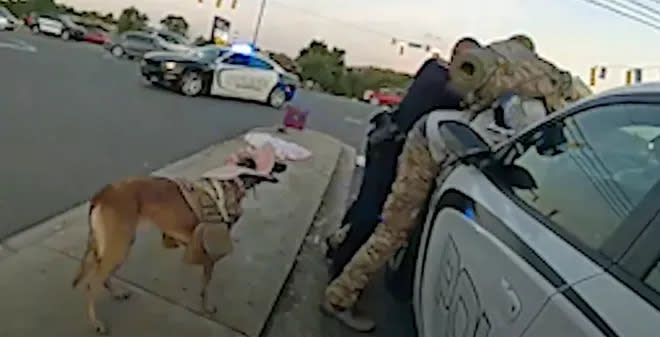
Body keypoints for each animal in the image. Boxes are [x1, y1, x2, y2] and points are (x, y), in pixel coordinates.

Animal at [71, 144, 286, 334]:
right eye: (273, 159)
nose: (284, 165)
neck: (230, 183)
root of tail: (102, 194)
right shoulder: (210, 254)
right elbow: (205, 287)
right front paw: (206, 308)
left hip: (116, 245)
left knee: (103, 276)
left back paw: (116, 293)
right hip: (119, 246)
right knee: (92, 284)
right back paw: (96, 323)